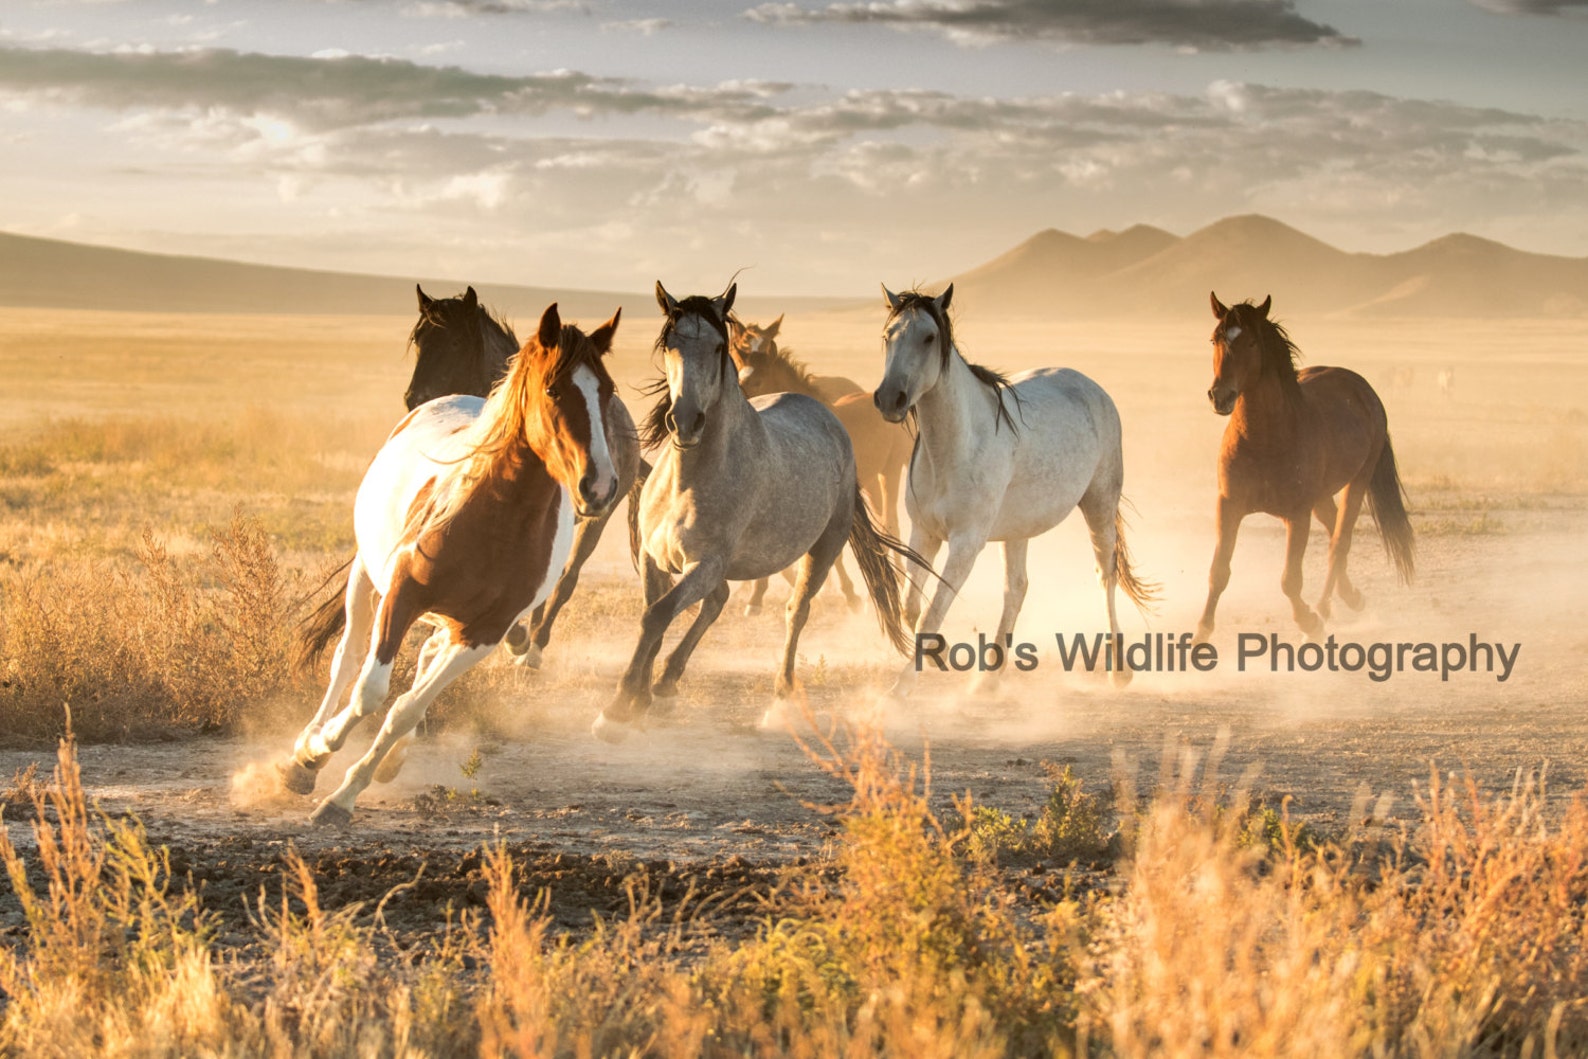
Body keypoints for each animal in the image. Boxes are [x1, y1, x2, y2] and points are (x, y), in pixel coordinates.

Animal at [279, 304, 623, 826]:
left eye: (607, 391)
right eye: (553, 389)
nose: (600, 486)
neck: (492, 517)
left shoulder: (485, 632)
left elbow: (406, 708)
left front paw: (344, 797)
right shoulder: (402, 595)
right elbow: (370, 691)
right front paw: (314, 755)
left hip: (450, 620)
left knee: (421, 664)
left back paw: (386, 758)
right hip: (365, 578)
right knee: (348, 659)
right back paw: (305, 752)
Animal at [297, 284, 644, 673]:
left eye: (455, 342)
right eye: (419, 340)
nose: (415, 398)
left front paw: (513, 635)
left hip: (596, 521)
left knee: (567, 580)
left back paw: (533, 648)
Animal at [872, 284, 1156, 697]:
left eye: (929, 337)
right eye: (888, 335)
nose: (890, 398)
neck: (954, 448)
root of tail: (1091, 386)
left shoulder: (966, 543)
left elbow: (930, 613)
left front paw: (900, 691)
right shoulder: (923, 534)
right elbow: (913, 608)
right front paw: (939, 656)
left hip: (1099, 504)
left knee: (1106, 575)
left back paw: (1119, 670)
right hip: (1018, 530)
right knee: (1016, 588)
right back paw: (989, 678)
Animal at [1196, 293, 1415, 643]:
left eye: (1252, 343)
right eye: (1215, 339)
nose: (1221, 396)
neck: (1265, 438)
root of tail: (1362, 388)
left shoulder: (1296, 515)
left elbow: (1290, 580)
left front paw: (1309, 623)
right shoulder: (1228, 506)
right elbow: (1219, 571)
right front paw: (1200, 636)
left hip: (1357, 481)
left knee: (1339, 543)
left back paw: (1324, 609)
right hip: (1321, 496)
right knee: (1334, 531)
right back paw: (1351, 597)